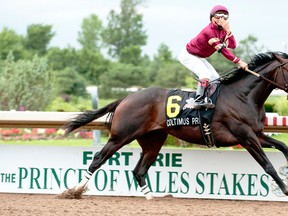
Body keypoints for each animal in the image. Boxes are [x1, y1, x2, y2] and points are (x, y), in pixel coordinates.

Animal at [63, 51, 288, 199]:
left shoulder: (256, 134)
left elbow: (283, 146)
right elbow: (267, 165)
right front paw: (285, 189)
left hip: (153, 141)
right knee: (98, 159)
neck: (243, 96)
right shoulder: (245, 136)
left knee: (138, 170)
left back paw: (151, 198)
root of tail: (126, 98)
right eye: (287, 67)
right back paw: (74, 190)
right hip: (122, 136)